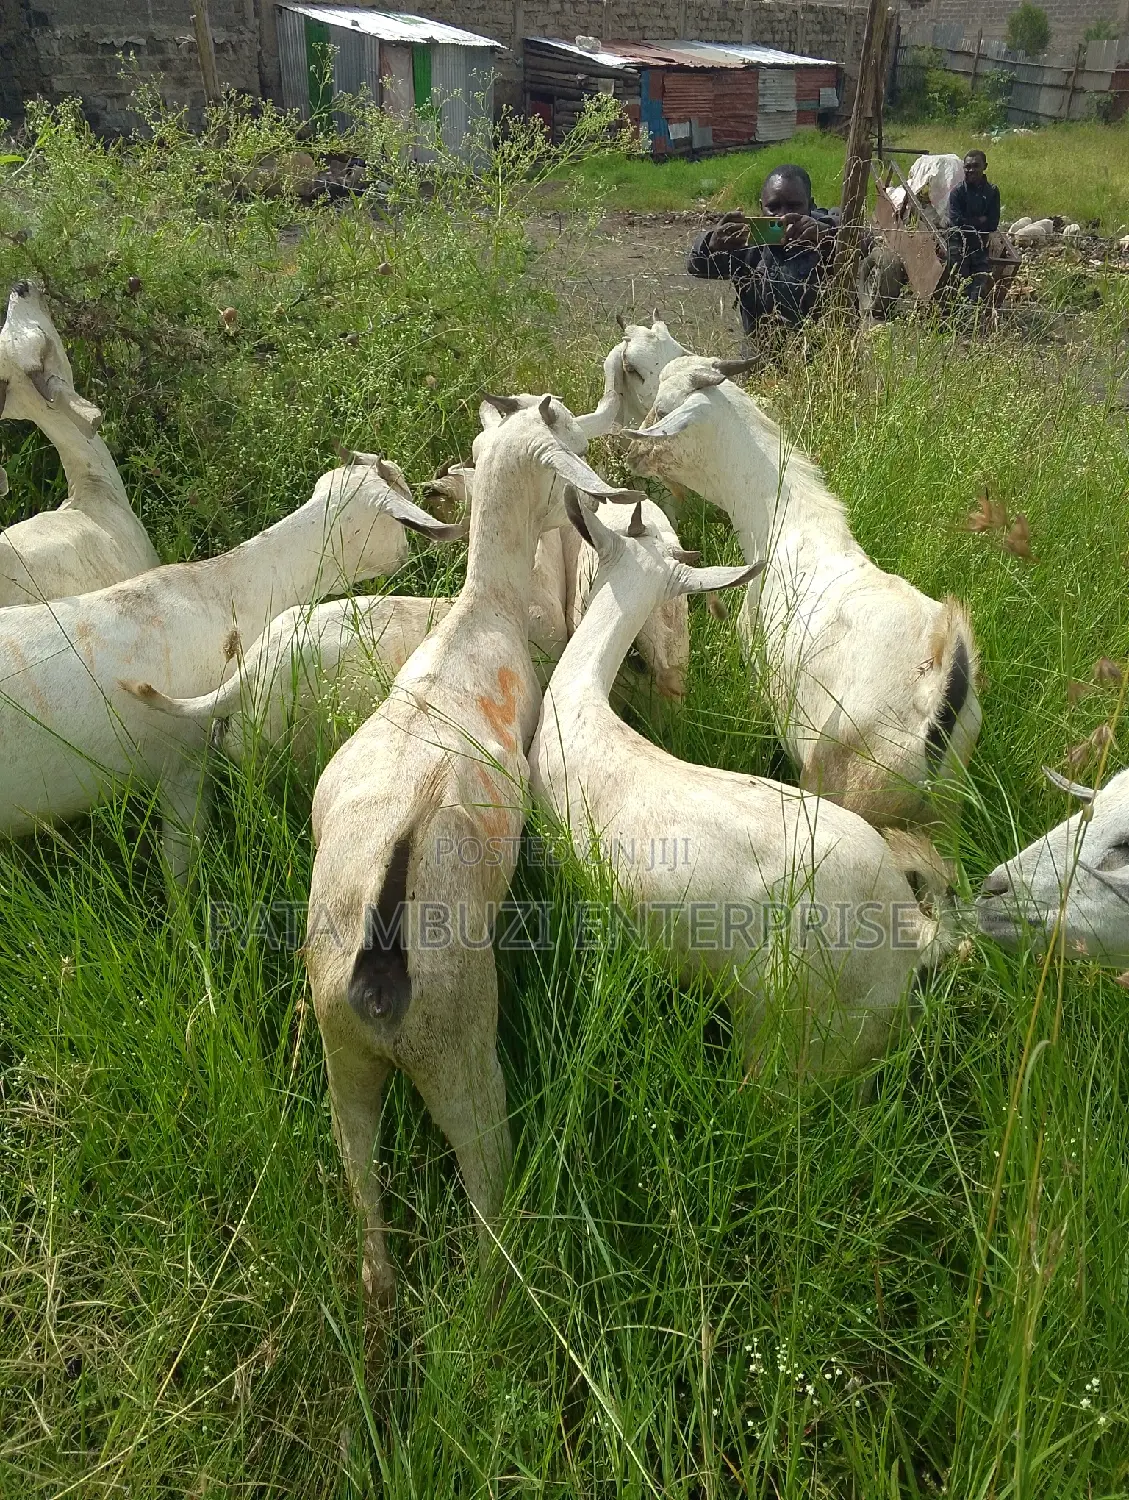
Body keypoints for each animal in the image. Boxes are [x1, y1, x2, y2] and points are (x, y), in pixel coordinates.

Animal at [303, 396, 643, 1306]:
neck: (476, 614)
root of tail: (379, 969)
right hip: (459, 1055)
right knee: (487, 1192)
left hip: (342, 1056)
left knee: (364, 1211)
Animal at [624, 355, 982, 827]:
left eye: (663, 410)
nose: (631, 454)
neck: (786, 526)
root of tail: (937, 694)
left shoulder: (758, 669)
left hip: (850, 789)